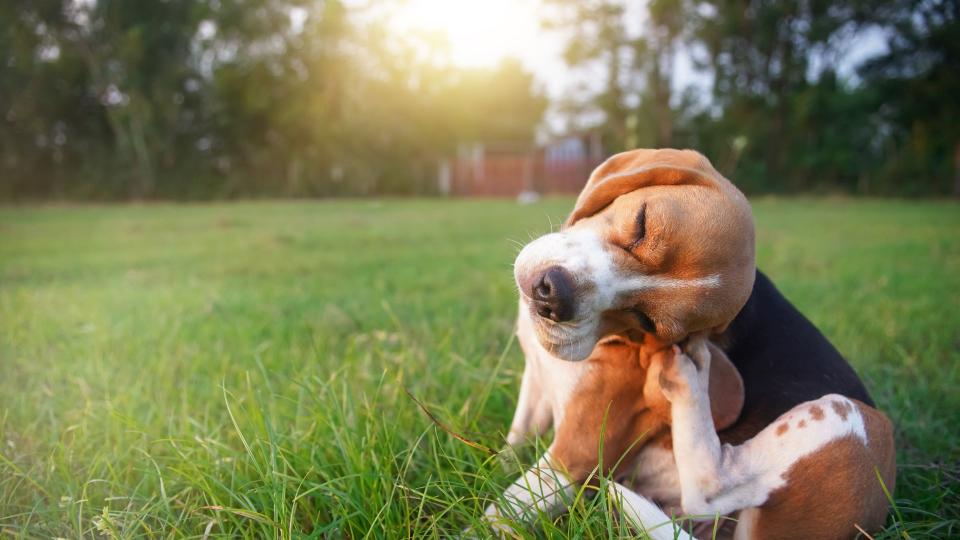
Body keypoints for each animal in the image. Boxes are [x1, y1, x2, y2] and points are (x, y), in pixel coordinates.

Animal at [488, 149, 900, 540]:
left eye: (647, 321)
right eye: (641, 224)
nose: (552, 297)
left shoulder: (575, 456)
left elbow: (495, 515)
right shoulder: (536, 384)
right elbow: (514, 442)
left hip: (853, 420)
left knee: (711, 488)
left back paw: (688, 379)